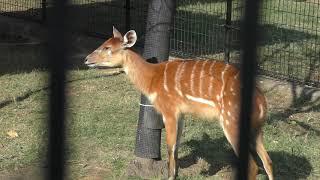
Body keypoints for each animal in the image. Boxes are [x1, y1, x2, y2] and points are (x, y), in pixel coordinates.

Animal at [84, 27, 274, 180]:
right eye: (104, 43)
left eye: (107, 48)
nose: (86, 59)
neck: (152, 78)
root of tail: (262, 102)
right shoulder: (181, 114)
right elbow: (176, 147)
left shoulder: (169, 111)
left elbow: (170, 147)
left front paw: (170, 177)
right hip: (257, 128)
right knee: (268, 161)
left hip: (231, 123)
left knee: (253, 166)